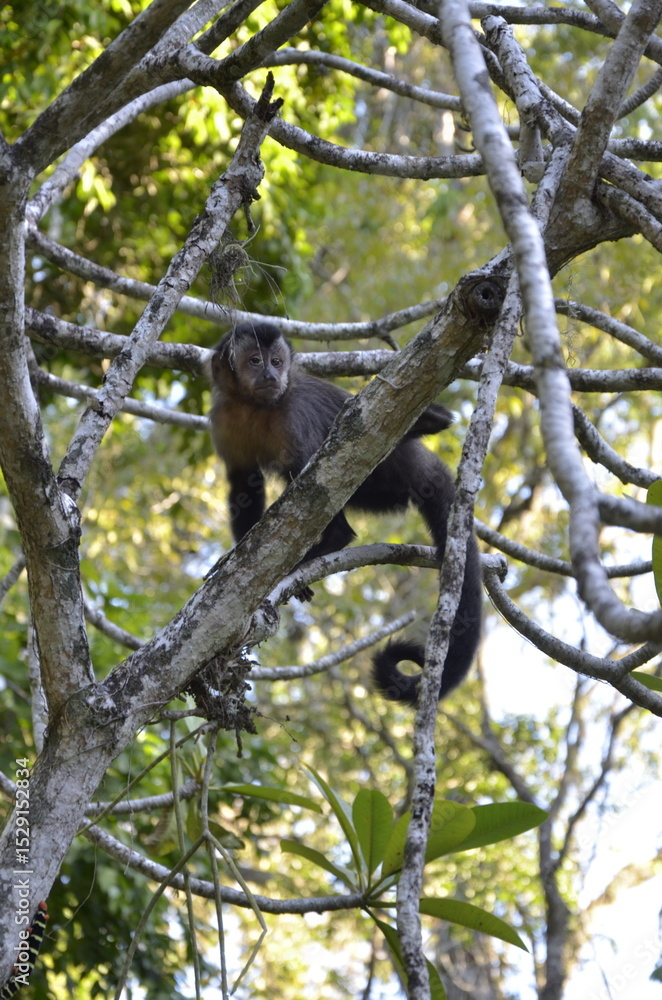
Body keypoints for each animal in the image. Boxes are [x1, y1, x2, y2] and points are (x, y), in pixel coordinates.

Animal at [209, 321, 482, 706]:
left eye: (276, 361)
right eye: (255, 361)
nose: (270, 375)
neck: (254, 406)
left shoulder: (292, 412)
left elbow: (310, 472)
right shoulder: (223, 418)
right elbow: (242, 485)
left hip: (385, 471)